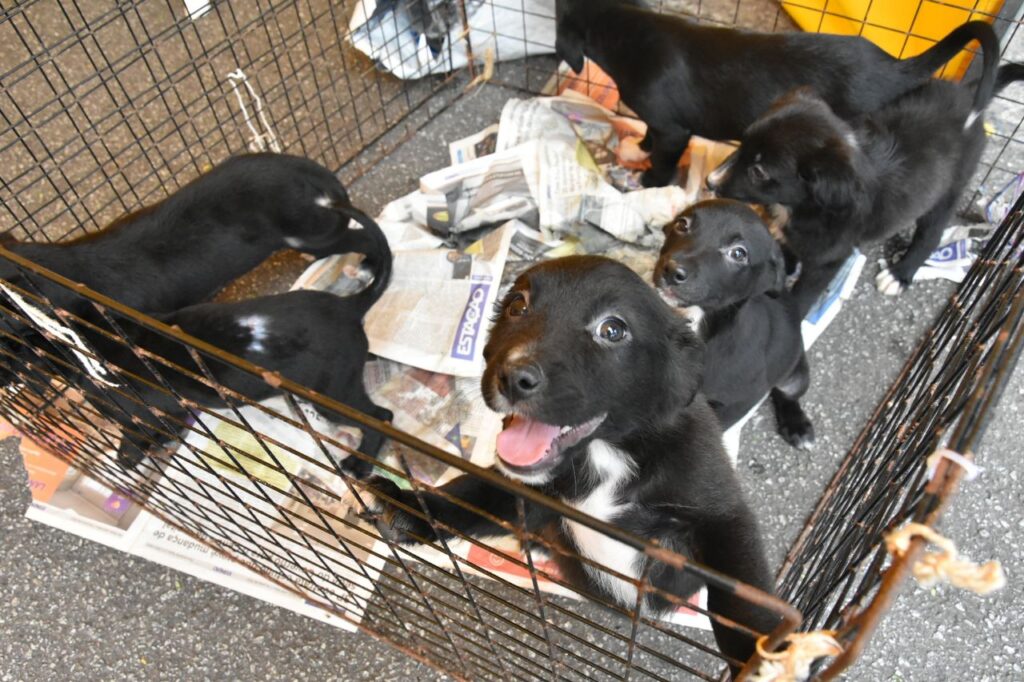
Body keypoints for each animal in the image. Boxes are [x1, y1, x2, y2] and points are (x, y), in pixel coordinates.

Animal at [74, 204, 393, 475]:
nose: (122, 464)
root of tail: (348, 306)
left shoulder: (145, 411)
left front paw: (127, 454)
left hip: (332, 394)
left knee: (381, 417)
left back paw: (359, 466)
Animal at [360, 256, 774, 675]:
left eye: (613, 329)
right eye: (517, 306)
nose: (513, 377)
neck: (604, 455)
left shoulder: (721, 516)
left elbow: (744, 602)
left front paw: (771, 659)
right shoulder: (524, 493)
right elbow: (469, 494)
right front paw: (409, 507)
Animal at [655, 199, 815, 448]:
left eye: (739, 253)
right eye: (682, 224)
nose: (671, 270)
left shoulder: (741, 401)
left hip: (795, 375)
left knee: (788, 394)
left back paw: (796, 424)